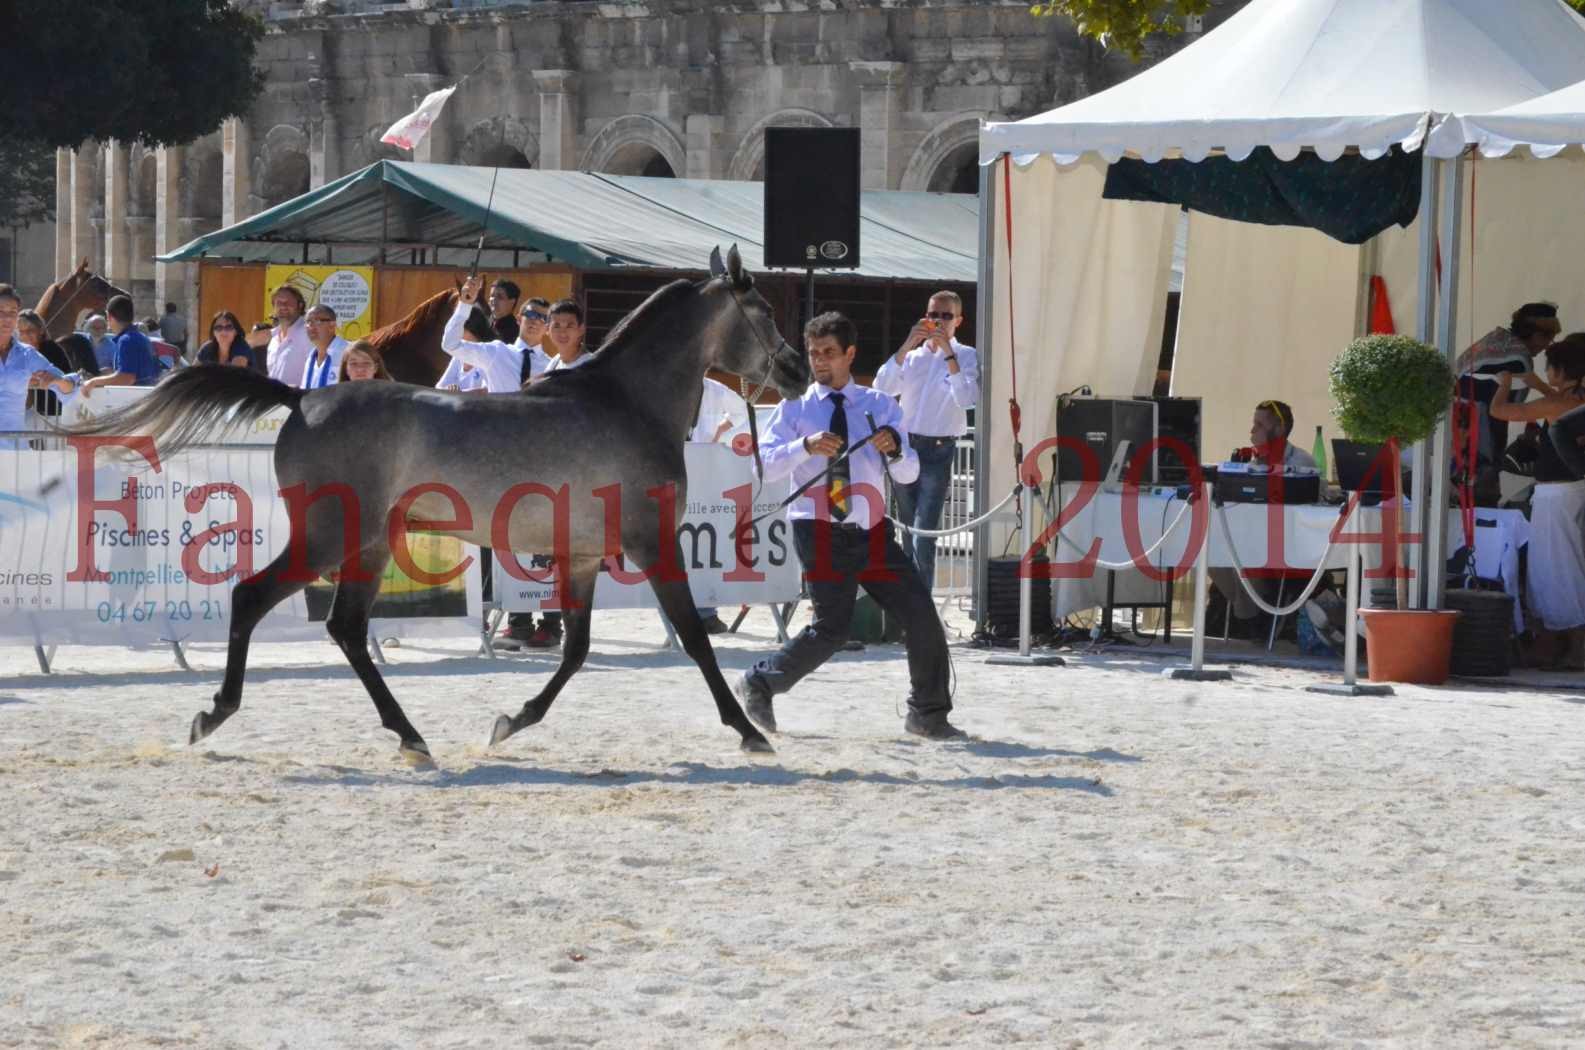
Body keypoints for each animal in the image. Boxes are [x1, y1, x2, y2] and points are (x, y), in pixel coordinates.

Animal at [72, 247, 811, 764]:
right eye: (766, 313)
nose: (799, 371)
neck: (626, 402)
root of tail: (302, 398)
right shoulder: (650, 541)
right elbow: (691, 637)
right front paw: (748, 731)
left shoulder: (579, 555)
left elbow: (575, 650)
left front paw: (510, 722)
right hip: (330, 535)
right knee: (254, 597)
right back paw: (215, 714)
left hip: (369, 543)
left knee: (346, 627)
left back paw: (409, 736)